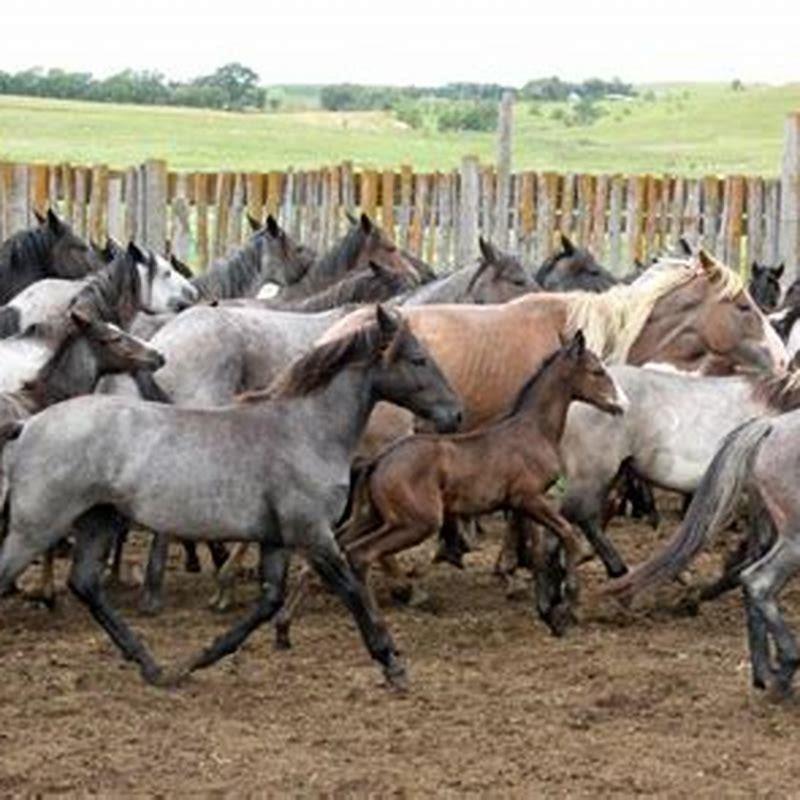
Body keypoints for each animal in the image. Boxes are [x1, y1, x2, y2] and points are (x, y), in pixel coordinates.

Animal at [0, 306, 462, 691]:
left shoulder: (277, 539)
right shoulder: (313, 533)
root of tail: (28, 425)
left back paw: (152, 666)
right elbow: (350, 588)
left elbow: (269, 601)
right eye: (418, 359)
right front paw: (392, 663)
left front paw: (198, 660)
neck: (304, 430)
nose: (455, 414)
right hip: (37, 527)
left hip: (99, 519)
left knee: (85, 584)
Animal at [274, 331, 627, 645]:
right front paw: (568, 606)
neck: (532, 429)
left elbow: (540, 553)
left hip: (370, 517)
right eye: (597, 371)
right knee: (361, 554)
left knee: (329, 553)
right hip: (417, 522)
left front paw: (548, 611)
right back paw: (379, 625)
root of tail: (379, 461)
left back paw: (284, 628)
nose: (621, 405)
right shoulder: (529, 497)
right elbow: (568, 535)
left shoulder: (523, 504)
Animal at [602, 412, 800, 699]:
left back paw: (764, 676)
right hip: (793, 541)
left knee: (749, 581)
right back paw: (783, 676)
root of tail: (772, 426)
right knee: (758, 581)